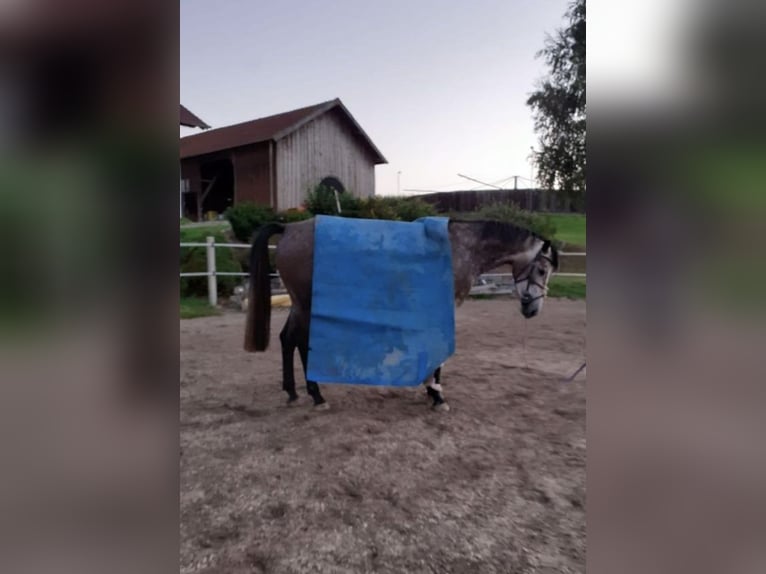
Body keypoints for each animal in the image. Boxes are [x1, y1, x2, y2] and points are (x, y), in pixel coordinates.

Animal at [246, 218, 560, 412]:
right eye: (542, 269)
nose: (533, 309)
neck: (459, 247)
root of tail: (289, 228)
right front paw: (437, 396)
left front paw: (430, 389)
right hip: (305, 303)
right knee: (296, 340)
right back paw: (316, 395)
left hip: (300, 304)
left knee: (288, 340)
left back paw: (295, 393)